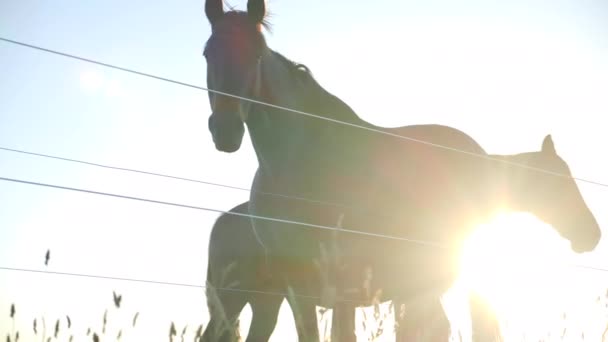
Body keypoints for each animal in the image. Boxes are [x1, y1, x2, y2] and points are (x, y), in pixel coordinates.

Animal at [202, 1, 600, 340]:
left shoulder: (354, 288)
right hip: (241, 300)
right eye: (207, 53)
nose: (225, 130)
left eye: (256, 54)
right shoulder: (307, 287)